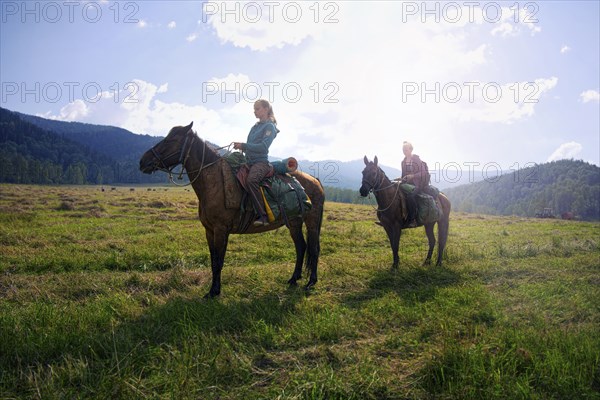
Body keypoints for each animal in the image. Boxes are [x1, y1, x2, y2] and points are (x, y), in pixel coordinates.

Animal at [139, 123, 326, 298]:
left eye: (171, 140)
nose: (143, 161)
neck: (214, 183)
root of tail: (315, 180)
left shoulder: (221, 230)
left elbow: (219, 262)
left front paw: (213, 292)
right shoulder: (209, 231)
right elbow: (213, 261)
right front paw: (214, 290)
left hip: (312, 221)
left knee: (314, 248)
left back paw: (311, 282)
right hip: (294, 222)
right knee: (301, 247)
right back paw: (294, 279)